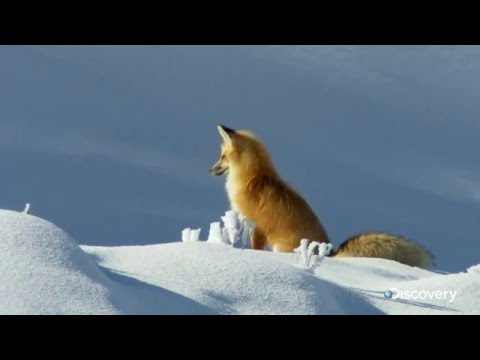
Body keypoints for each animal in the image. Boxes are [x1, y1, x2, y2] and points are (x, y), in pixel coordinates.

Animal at [210, 125, 436, 268]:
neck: (254, 179)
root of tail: (329, 252)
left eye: (222, 157)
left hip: (280, 247)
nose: (210, 170)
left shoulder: (259, 228)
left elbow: (254, 250)